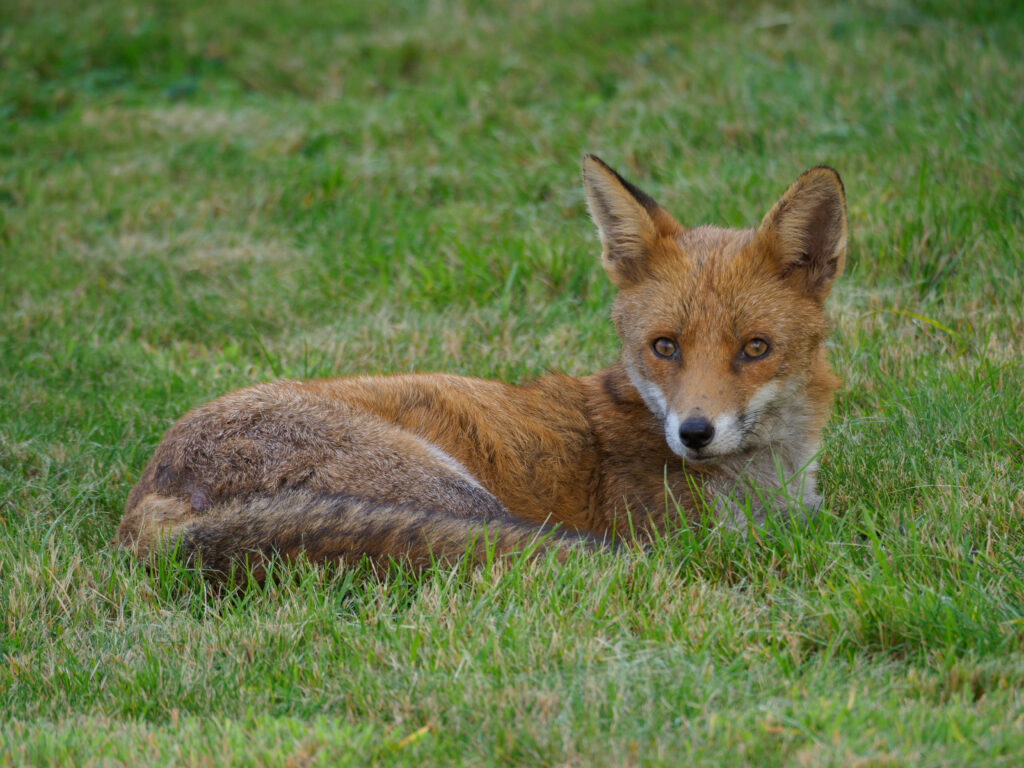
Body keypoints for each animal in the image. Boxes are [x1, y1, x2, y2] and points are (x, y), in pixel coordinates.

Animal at [117, 155, 847, 579]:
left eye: (755, 348)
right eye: (664, 347)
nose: (694, 433)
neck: (768, 487)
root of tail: (149, 498)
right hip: (460, 498)